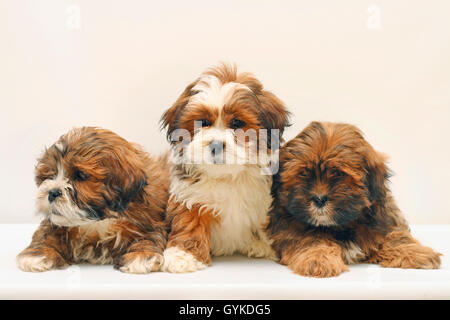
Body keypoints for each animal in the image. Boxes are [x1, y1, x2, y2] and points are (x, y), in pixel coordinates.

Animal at [16, 126, 170, 274]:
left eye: (81, 175)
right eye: (51, 175)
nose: (52, 192)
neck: (98, 222)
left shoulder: (150, 221)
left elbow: (150, 236)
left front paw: (140, 255)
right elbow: (46, 232)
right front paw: (38, 253)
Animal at [160, 63, 290, 272]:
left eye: (237, 123)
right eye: (203, 122)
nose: (216, 145)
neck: (226, 176)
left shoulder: (263, 200)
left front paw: (262, 244)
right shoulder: (190, 195)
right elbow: (188, 222)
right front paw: (183, 255)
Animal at [268, 121, 440, 276]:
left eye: (338, 174)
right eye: (303, 173)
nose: (319, 199)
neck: (342, 225)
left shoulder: (384, 220)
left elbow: (394, 236)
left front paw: (416, 252)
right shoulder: (290, 229)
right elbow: (311, 240)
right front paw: (318, 260)